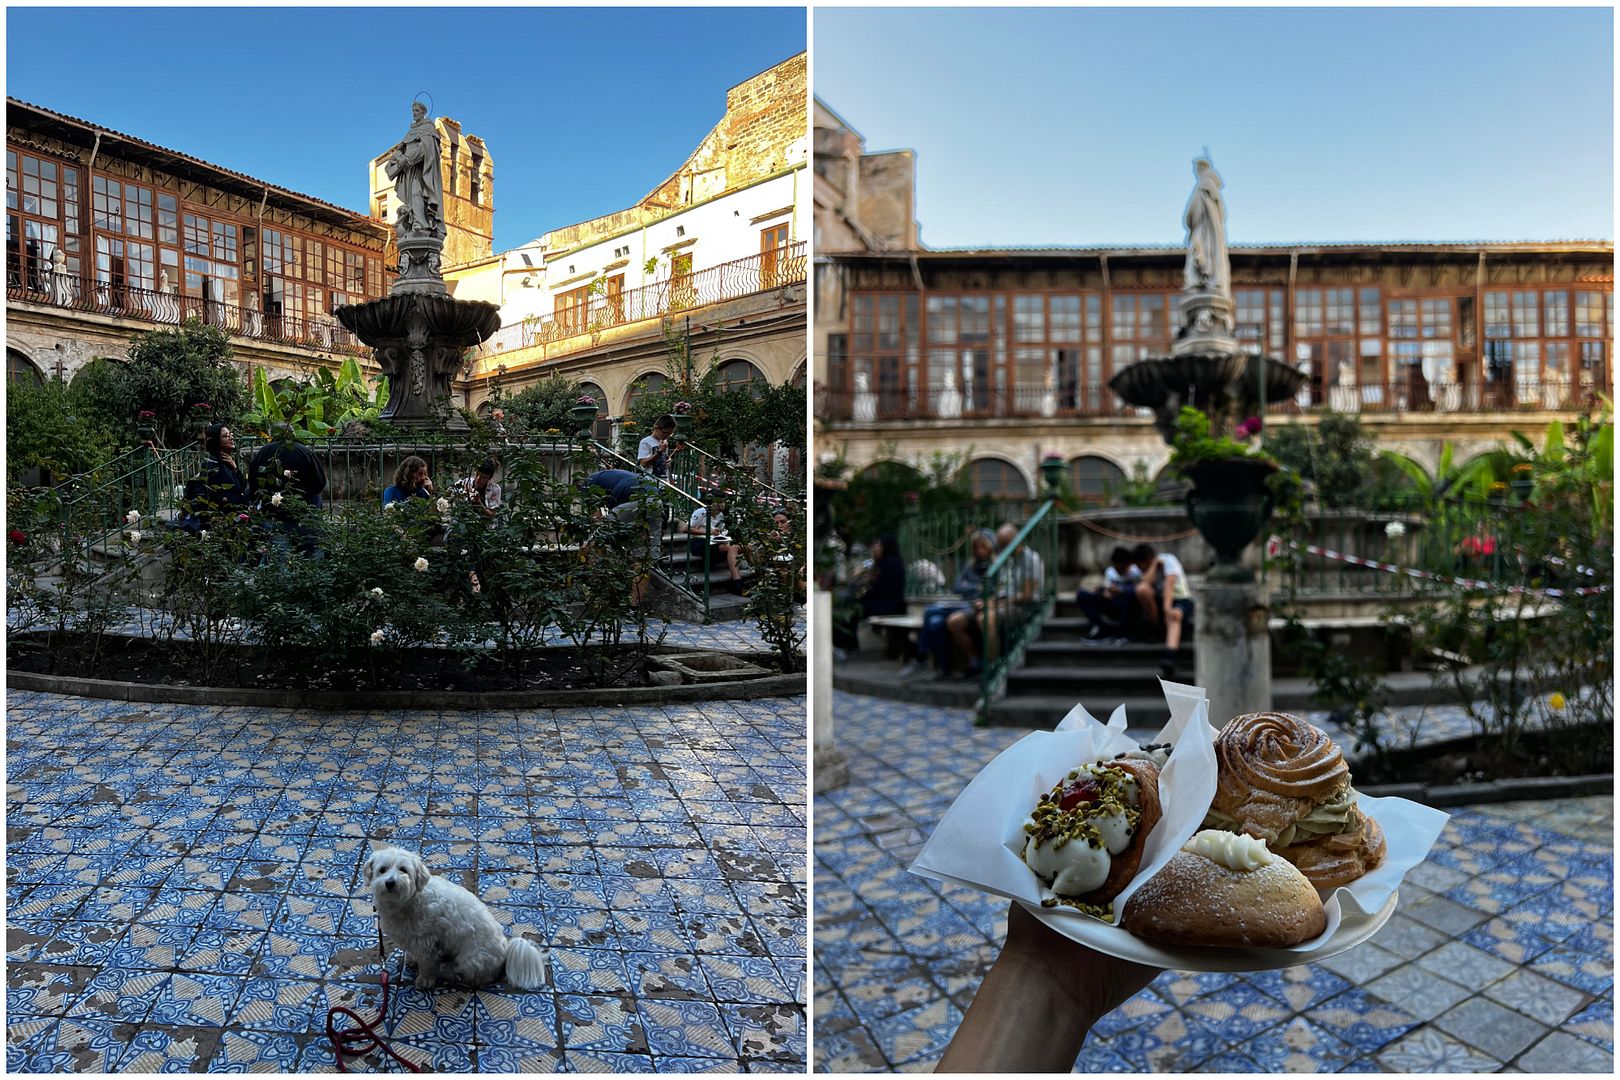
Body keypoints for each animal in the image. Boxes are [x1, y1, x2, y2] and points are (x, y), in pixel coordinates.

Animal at [362, 848, 550, 990]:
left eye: (403, 869)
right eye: (382, 869)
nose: (390, 882)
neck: (408, 901)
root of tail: (505, 951)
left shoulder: (425, 941)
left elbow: (427, 964)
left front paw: (425, 980)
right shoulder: (412, 938)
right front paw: (412, 960)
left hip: (471, 959)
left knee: (480, 977)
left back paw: (454, 974)